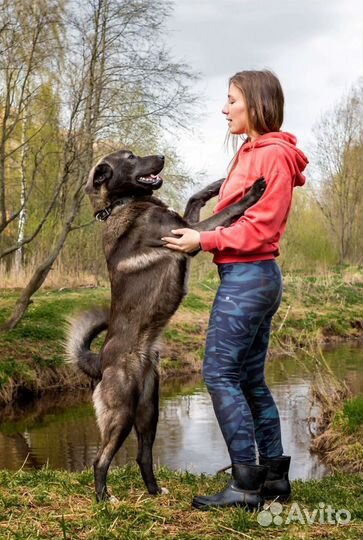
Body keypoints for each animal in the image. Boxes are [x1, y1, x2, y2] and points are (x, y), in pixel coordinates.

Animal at [65, 149, 266, 502]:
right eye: (130, 157)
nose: (160, 155)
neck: (124, 204)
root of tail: (100, 361)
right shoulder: (188, 233)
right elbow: (228, 210)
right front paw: (252, 191)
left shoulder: (187, 227)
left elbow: (194, 197)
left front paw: (217, 184)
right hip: (122, 414)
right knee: (100, 459)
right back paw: (105, 498)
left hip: (149, 410)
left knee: (142, 455)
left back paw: (154, 490)